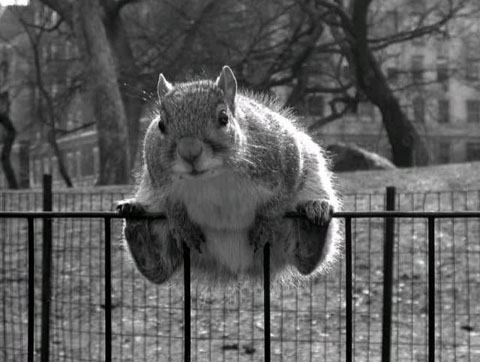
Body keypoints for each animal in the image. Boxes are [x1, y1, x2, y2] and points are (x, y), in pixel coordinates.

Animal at [116, 64, 342, 286]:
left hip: (310, 187)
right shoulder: (157, 176)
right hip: (157, 217)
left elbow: (283, 194)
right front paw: (182, 225)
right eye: (161, 125)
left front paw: (266, 223)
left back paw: (314, 220)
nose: (189, 152)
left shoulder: (285, 155)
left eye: (223, 118)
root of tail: (236, 266)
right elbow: (171, 204)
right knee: (158, 268)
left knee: (305, 261)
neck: (214, 176)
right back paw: (135, 221)